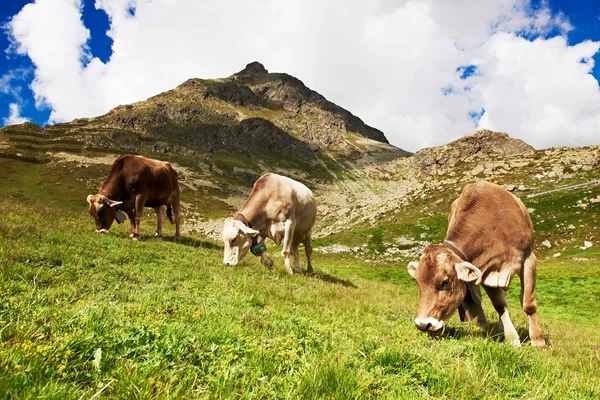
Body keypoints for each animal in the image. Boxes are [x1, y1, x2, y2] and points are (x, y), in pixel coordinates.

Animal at [408, 181, 544, 346]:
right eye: (418, 283)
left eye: (445, 282)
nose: (423, 324)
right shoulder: (487, 273)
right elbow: (500, 305)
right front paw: (512, 339)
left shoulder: (528, 258)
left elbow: (528, 303)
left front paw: (538, 340)